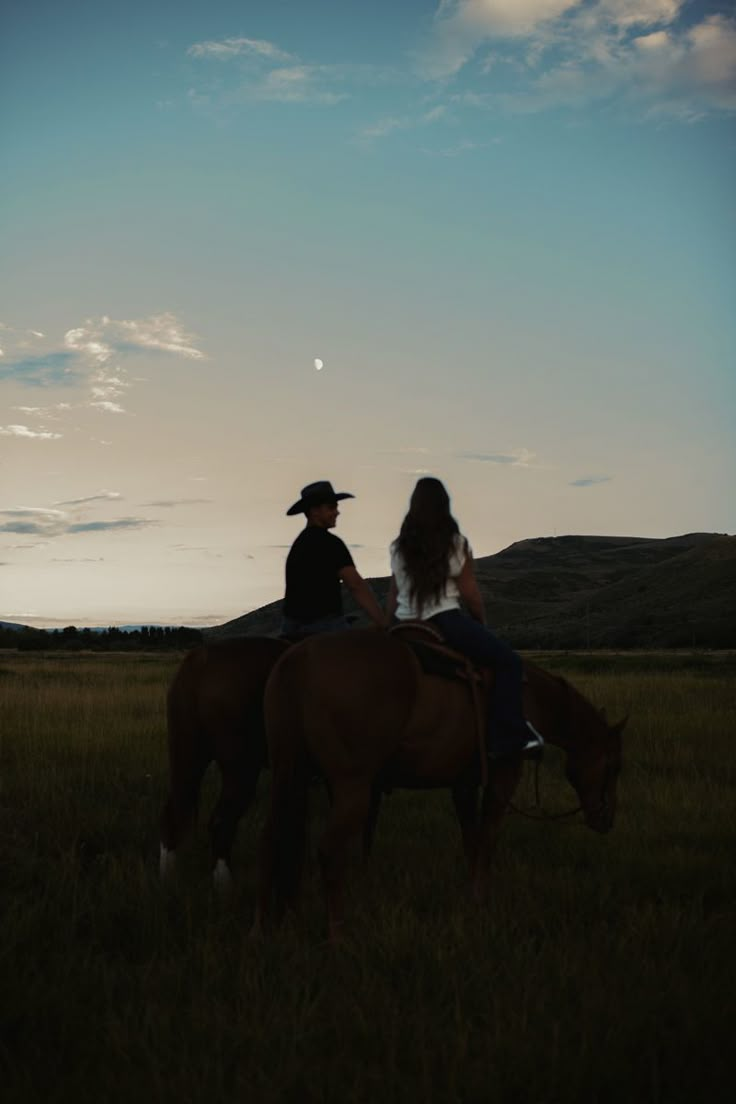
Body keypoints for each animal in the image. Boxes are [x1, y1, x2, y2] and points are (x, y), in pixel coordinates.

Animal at [160, 635, 289, 883]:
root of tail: (200, 660)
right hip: (241, 766)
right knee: (222, 820)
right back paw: (224, 885)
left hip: (187, 754)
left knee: (174, 811)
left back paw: (167, 878)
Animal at [254, 631, 626, 940]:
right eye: (615, 766)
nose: (607, 819)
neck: (530, 698)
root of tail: (299, 659)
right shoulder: (503, 777)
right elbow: (487, 838)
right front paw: (482, 897)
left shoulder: (463, 785)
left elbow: (471, 841)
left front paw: (471, 894)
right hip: (351, 788)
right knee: (330, 851)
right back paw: (337, 936)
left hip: (288, 773)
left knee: (273, 837)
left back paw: (265, 926)